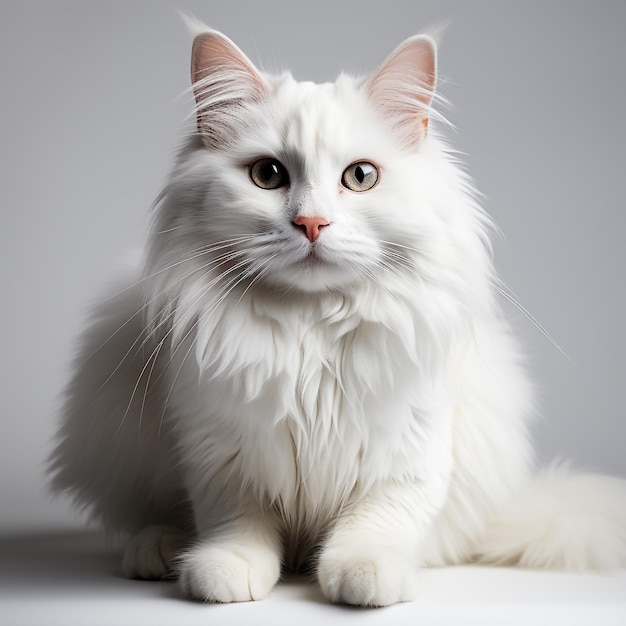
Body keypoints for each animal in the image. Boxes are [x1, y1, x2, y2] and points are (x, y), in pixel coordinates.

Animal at [47, 25, 624, 604]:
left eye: (361, 176)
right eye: (268, 174)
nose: (312, 223)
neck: (313, 331)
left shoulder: (407, 454)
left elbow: (377, 522)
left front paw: (364, 573)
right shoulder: (223, 453)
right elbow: (236, 523)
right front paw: (223, 570)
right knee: (155, 516)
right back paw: (160, 551)